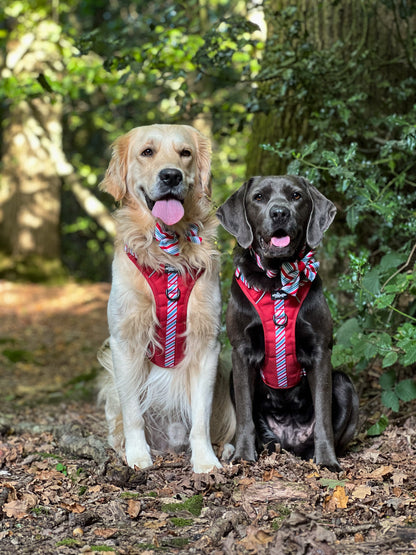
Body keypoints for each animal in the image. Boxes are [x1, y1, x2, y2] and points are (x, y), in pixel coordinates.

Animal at [218, 176, 358, 472]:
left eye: (296, 196)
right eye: (259, 197)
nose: (279, 213)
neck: (278, 282)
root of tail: (289, 440)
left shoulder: (320, 352)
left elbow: (323, 417)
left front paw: (327, 460)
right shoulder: (241, 352)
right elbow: (245, 415)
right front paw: (244, 456)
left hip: (344, 383)